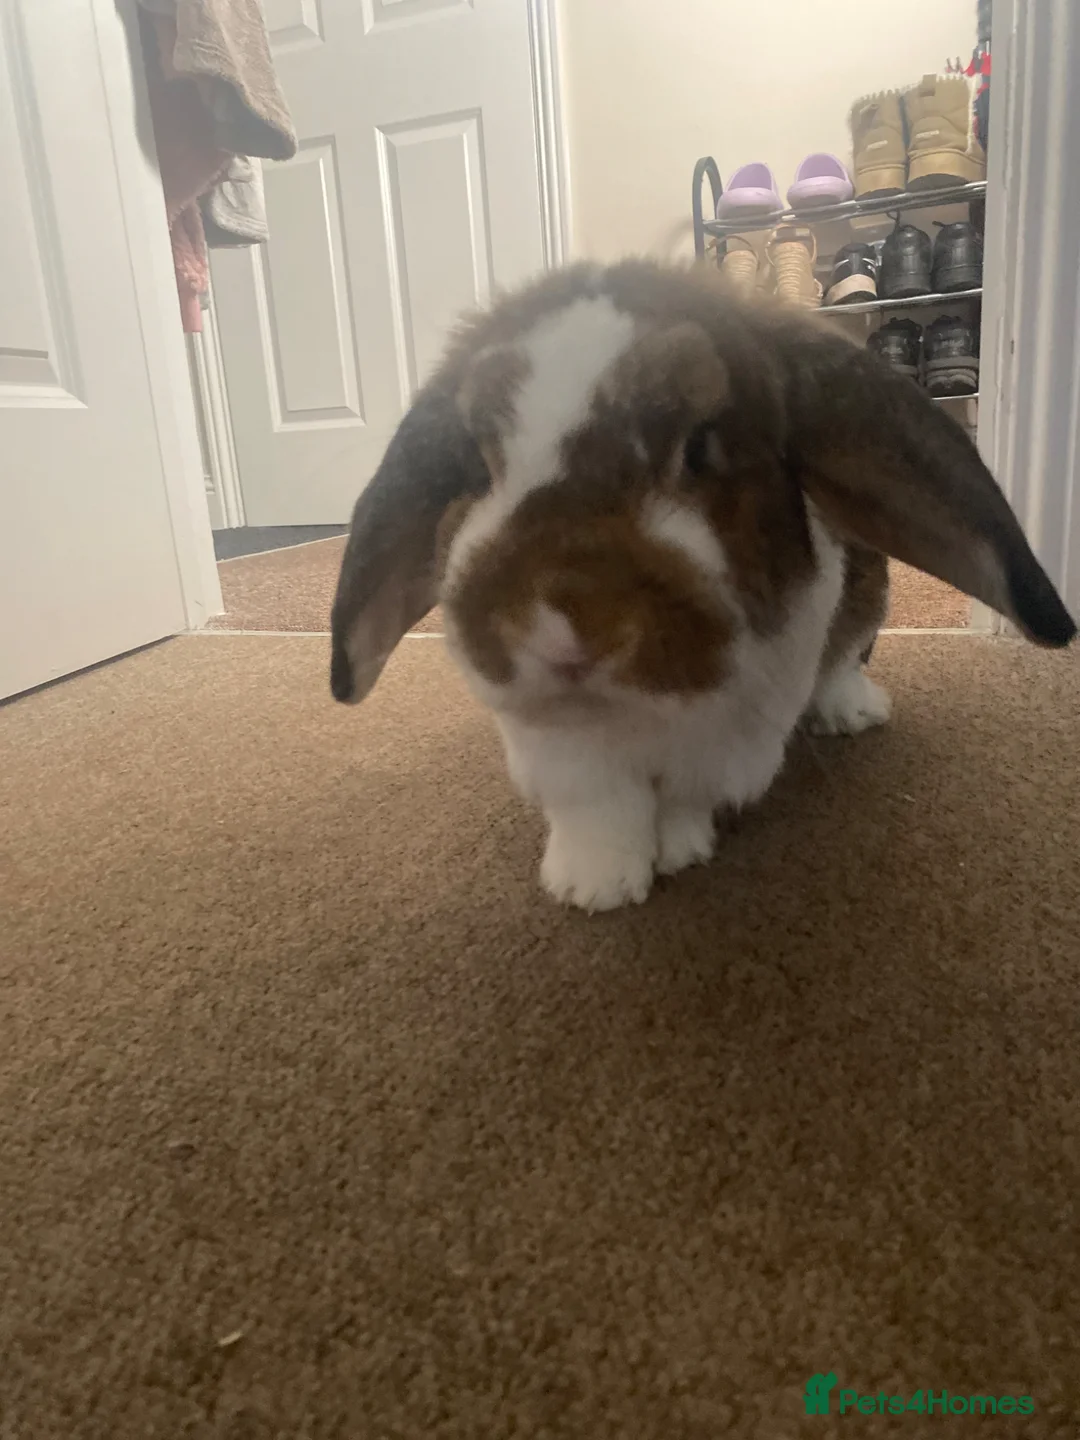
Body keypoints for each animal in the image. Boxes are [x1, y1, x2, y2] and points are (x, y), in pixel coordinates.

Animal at [330, 259, 1075, 912]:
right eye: (474, 467)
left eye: (698, 448)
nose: (561, 630)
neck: (627, 715)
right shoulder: (558, 750)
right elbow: (597, 809)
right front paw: (593, 887)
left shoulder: (728, 736)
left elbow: (683, 798)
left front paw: (678, 851)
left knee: (845, 661)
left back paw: (851, 712)